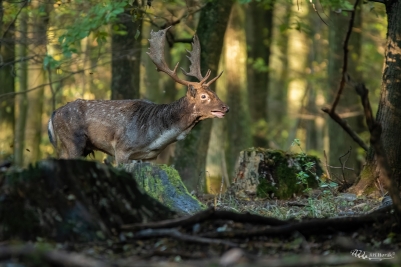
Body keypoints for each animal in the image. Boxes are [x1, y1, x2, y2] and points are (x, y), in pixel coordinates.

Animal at [47, 27, 228, 165]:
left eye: (215, 93)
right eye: (204, 96)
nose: (225, 107)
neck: (154, 138)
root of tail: (53, 114)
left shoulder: (149, 158)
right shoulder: (121, 149)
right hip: (72, 142)